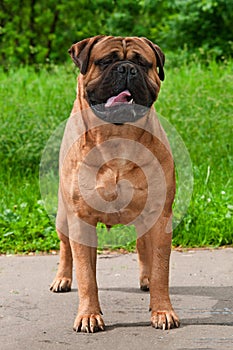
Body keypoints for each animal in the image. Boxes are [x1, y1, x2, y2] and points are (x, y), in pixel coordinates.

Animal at [50, 35, 179, 334]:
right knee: (65, 247)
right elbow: (87, 274)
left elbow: (161, 268)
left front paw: (162, 311)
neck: (117, 135)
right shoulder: (80, 219)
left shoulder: (160, 215)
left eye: (143, 63)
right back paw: (62, 279)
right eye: (106, 61)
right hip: (63, 217)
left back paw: (145, 278)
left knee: (143, 247)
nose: (127, 69)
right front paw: (89, 315)